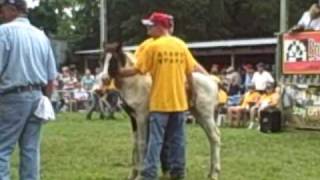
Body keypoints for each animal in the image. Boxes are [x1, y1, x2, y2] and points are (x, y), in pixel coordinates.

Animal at [103, 42, 222, 180]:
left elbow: (142, 144)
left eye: (113, 60)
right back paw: (210, 172)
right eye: (102, 59)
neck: (135, 83)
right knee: (211, 138)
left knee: (215, 137)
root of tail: (213, 81)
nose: (104, 79)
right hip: (199, 116)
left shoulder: (142, 117)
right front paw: (133, 174)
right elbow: (135, 144)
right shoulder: (133, 118)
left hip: (206, 115)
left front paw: (140, 175)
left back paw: (215, 173)